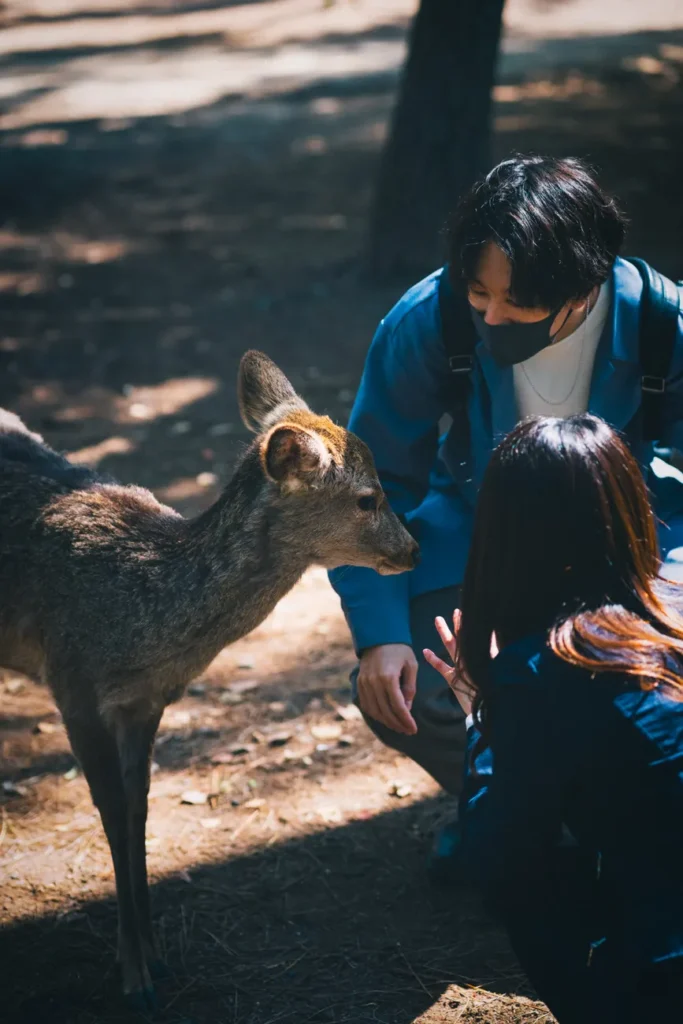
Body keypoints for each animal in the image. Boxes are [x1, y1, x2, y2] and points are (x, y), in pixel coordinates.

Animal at [0, 351, 418, 1011]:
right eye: (367, 498)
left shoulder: (146, 702)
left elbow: (139, 808)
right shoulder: (71, 681)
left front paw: (155, 954)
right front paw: (133, 975)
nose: (413, 549)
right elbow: (110, 811)